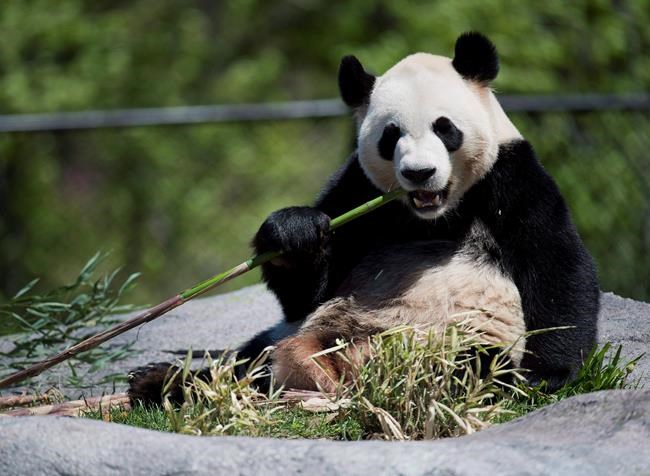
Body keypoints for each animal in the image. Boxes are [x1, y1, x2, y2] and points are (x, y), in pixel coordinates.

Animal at [129, 32, 599, 404]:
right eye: (391, 137)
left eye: (445, 128)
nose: (419, 173)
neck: (437, 214)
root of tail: (340, 366)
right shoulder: (358, 187)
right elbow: (309, 289)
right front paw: (294, 232)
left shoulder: (512, 177)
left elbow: (555, 266)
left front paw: (544, 376)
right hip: (293, 334)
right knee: (249, 360)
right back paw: (160, 382)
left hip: (456, 340)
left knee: (468, 365)